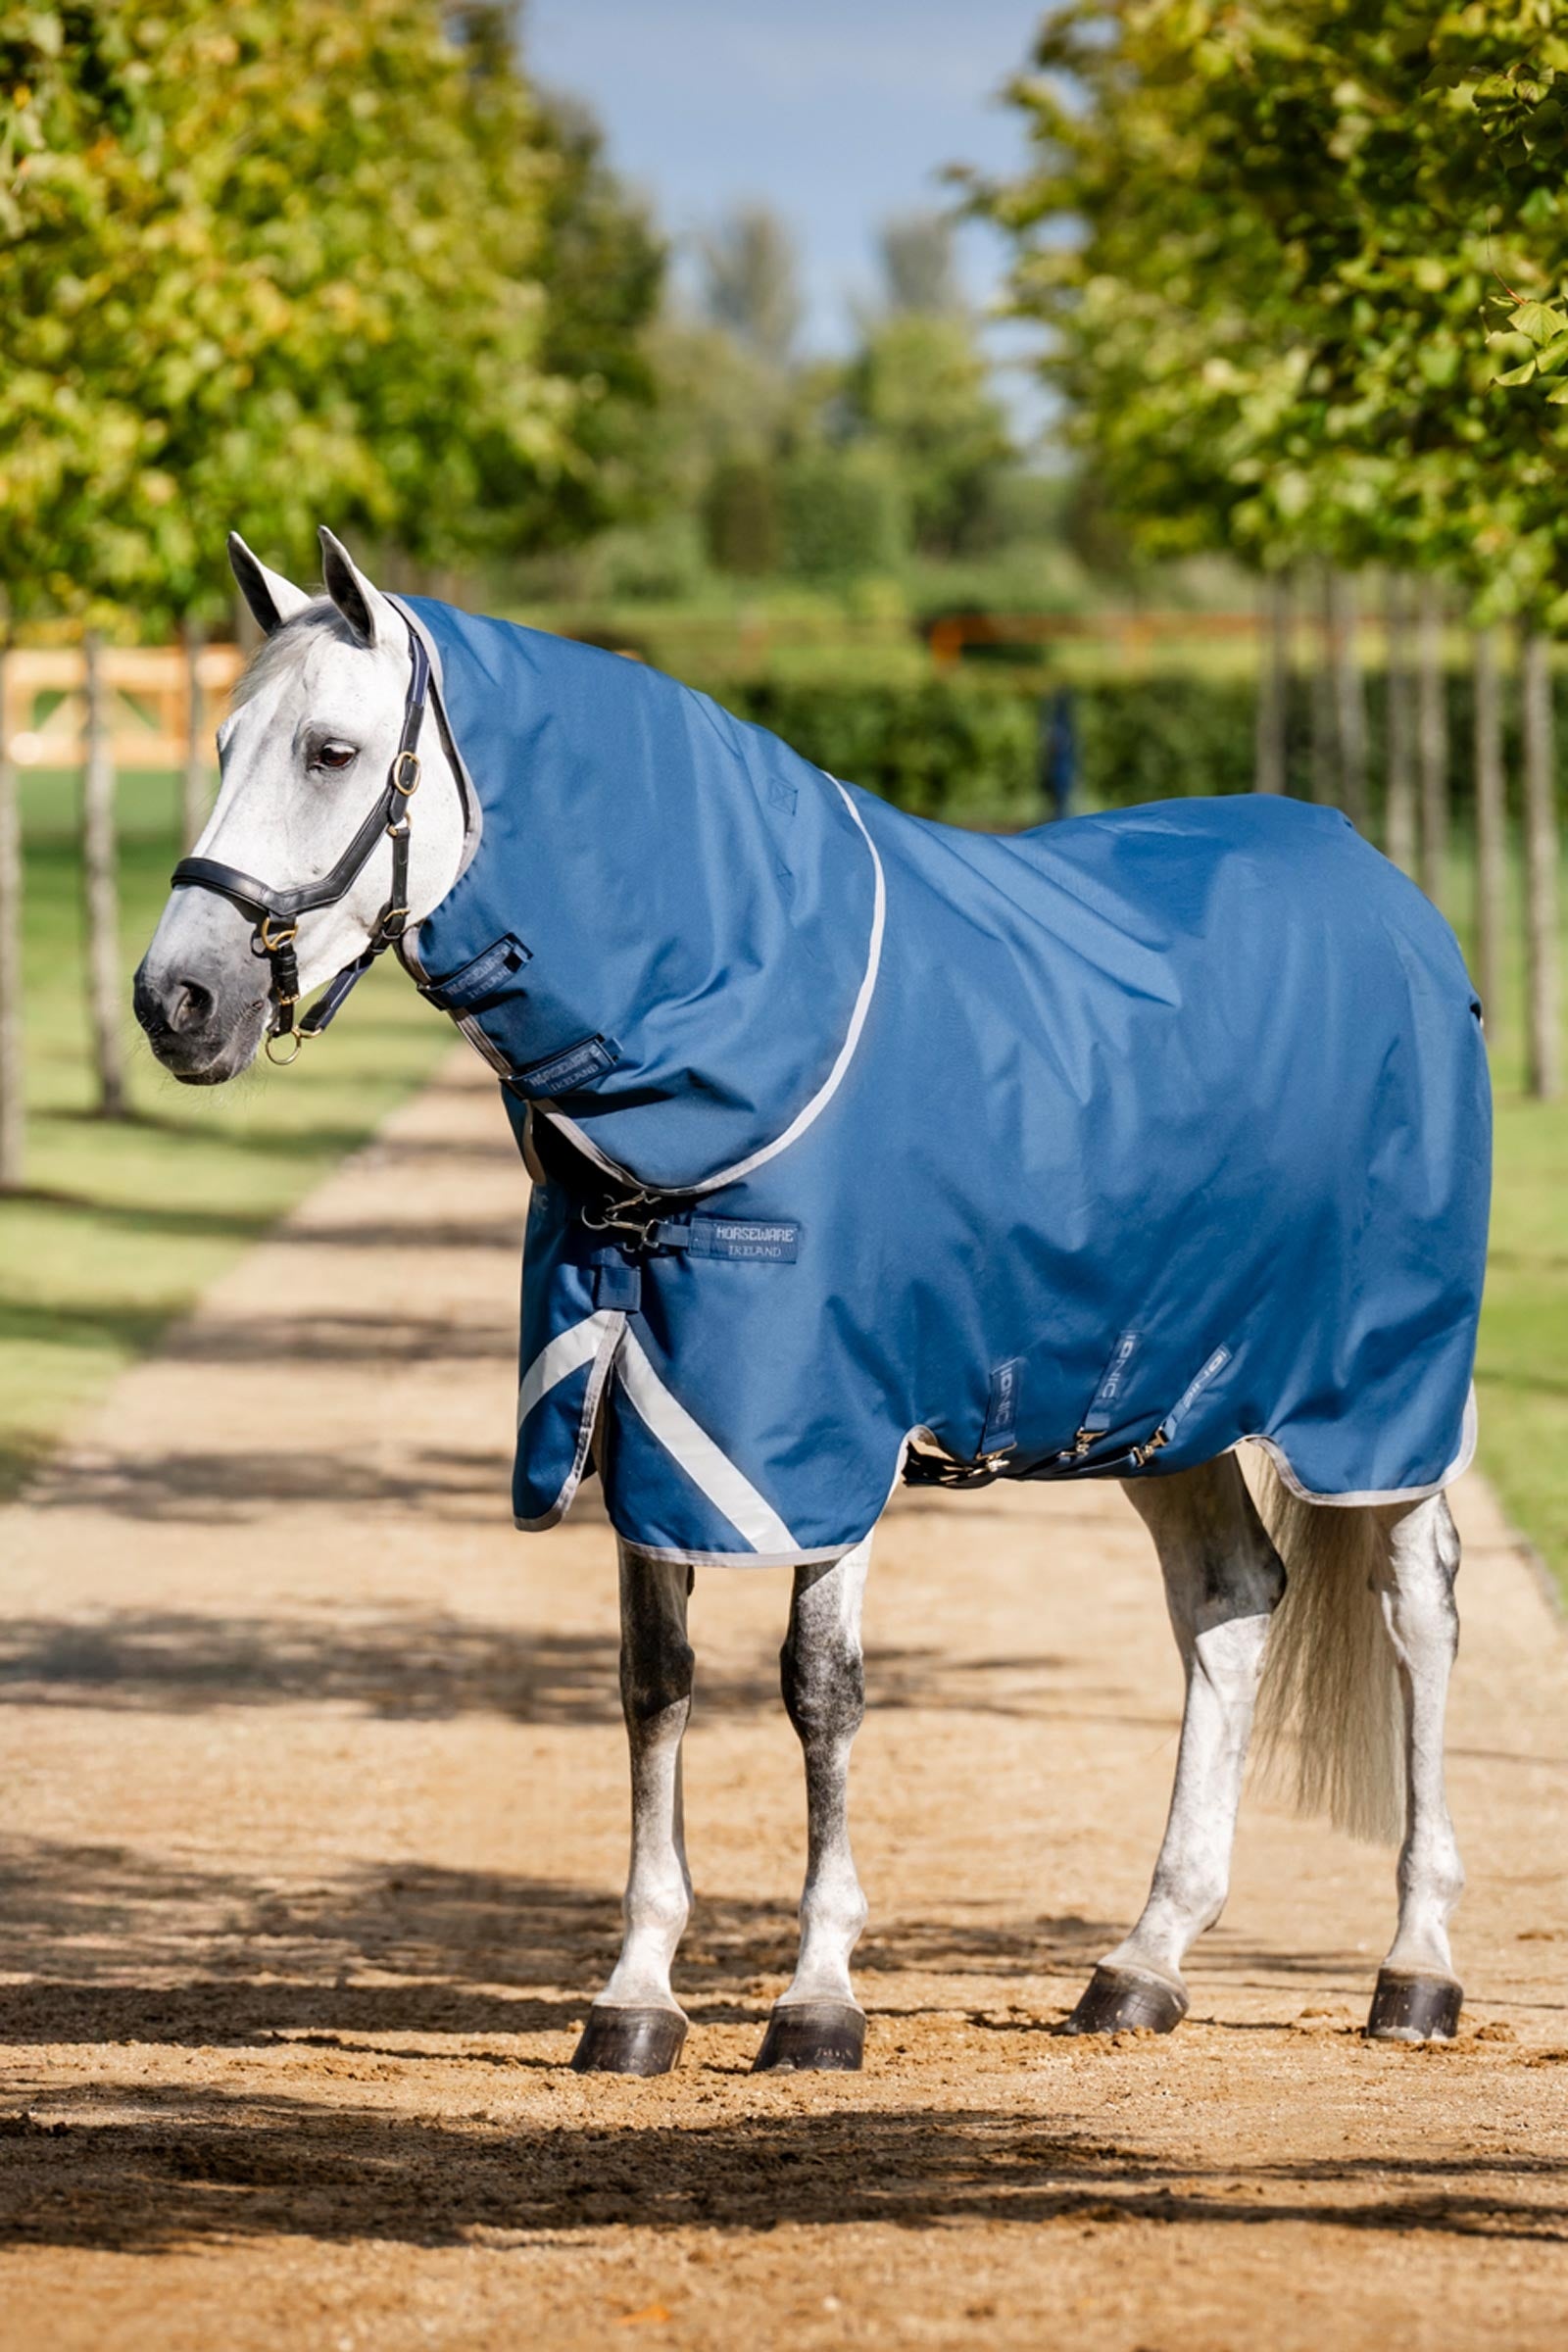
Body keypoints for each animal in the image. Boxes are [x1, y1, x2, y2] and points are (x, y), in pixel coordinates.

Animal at [134, 526, 1491, 2074]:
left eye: (331, 750)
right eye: (221, 741)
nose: (176, 1001)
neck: (733, 1027)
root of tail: (1388, 892)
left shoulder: (822, 1433)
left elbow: (817, 1688)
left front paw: (819, 1995)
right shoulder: (638, 1406)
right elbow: (654, 1677)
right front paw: (636, 1994)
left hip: (1377, 1395)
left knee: (1418, 1610)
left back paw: (1415, 1968)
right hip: (1162, 1390)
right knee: (1229, 1600)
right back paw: (1142, 1963)